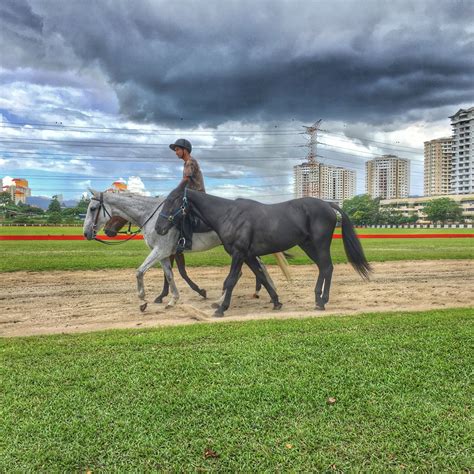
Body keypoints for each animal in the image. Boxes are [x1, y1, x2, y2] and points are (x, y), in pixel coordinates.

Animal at [155, 183, 370, 316]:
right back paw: (318, 299)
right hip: (308, 245)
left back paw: (322, 301)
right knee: (323, 268)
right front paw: (276, 302)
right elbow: (263, 278)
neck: (229, 215)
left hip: (320, 244)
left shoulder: (239, 254)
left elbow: (230, 280)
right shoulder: (249, 256)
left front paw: (221, 308)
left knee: (327, 268)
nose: (158, 228)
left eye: (172, 201)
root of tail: (328, 205)